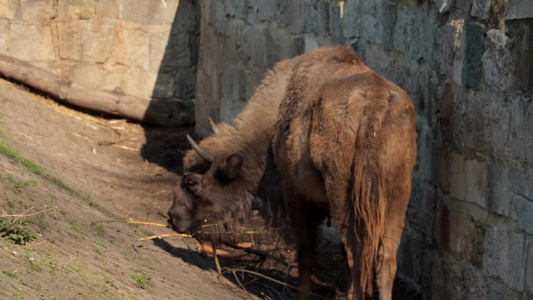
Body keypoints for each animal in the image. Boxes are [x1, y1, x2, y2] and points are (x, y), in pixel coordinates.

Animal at [168, 45, 418, 298]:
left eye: (192, 182)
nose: (172, 217)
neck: (277, 111)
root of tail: (374, 105)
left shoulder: (296, 195)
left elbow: (306, 249)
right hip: (395, 200)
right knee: (385, 260)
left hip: (345, 199)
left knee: (355, 255)